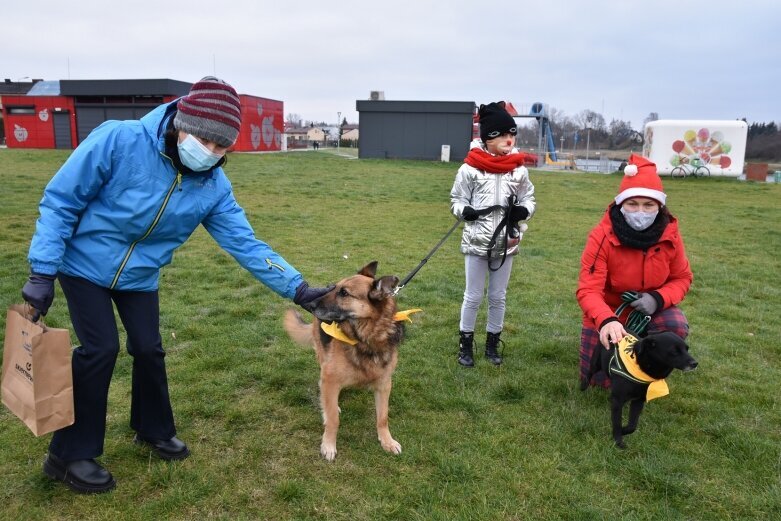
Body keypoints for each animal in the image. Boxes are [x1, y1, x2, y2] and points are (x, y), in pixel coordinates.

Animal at [282, 262, 402, 462]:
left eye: (344, 293)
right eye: (334, 288)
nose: (311, 305)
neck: (364, 341)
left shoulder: (384, 384)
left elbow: (383, 417)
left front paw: (387, 441)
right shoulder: (331, 379)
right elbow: (333, 419)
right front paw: (328, 445)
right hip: (323, 359)